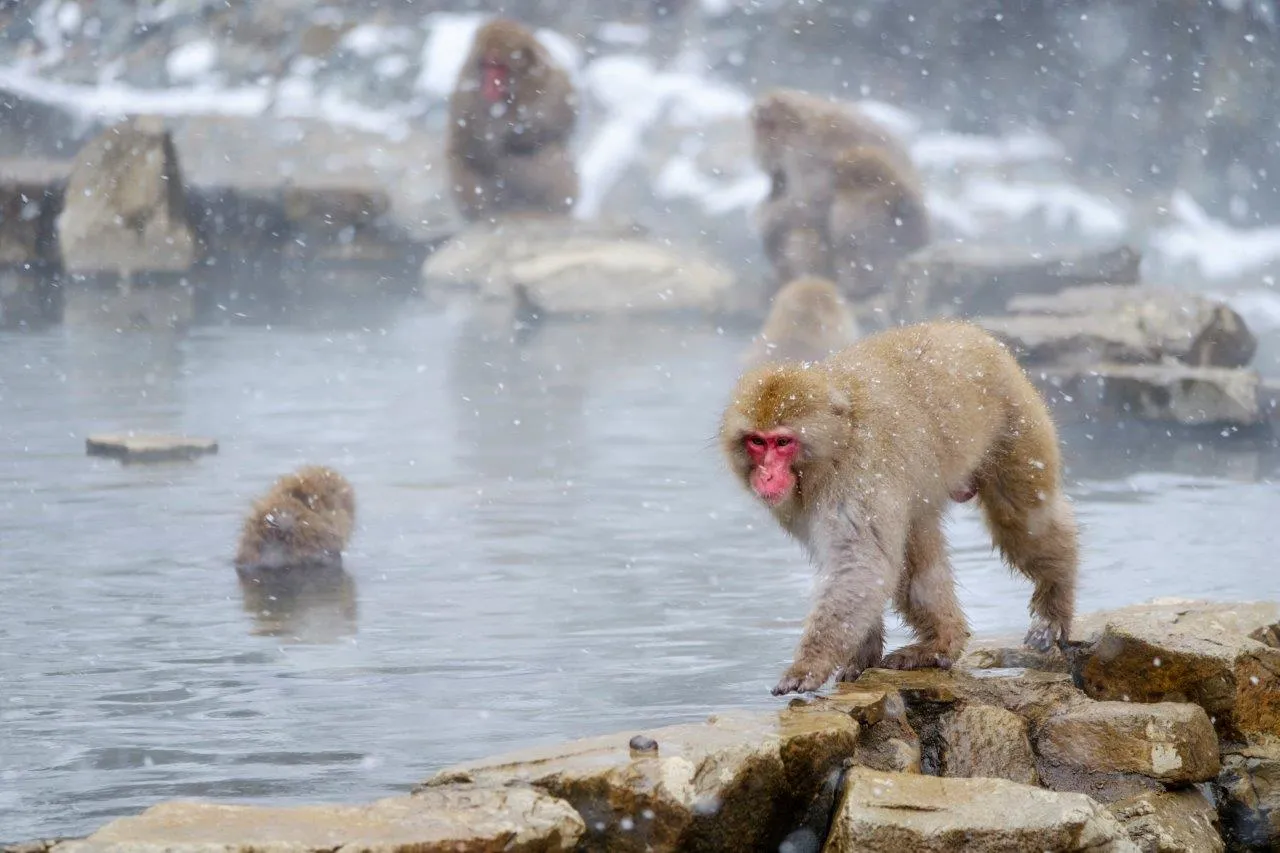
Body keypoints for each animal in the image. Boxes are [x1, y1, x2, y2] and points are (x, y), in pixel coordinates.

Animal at [445, 19, 576, 222]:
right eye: (486, 65)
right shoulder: (466, 92)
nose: (489, 86)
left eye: (499, 67)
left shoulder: (550, 79)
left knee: (549, 153)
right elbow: (466, 146)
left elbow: (565, 117)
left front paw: (522, 138)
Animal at [721, 318, 1080, 691]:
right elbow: (859, 566)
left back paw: (1053, 606)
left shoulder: (860, 473)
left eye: (782, 442)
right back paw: (943, 642)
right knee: (918, 544)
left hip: (1017, 419)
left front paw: (809, 664)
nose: (766, 476)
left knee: (1022, 519)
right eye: (757, 442)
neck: (838, 442)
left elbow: (860, 564)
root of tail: (968, 330)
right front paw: (862, 656)